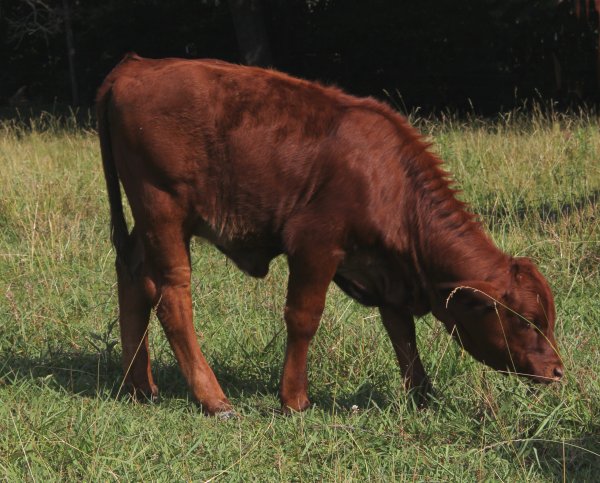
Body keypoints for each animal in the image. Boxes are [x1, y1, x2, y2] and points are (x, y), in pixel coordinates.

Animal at [97, 54, 564, 414]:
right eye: (527, 320)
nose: (557, 370)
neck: (387, 178)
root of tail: (136, 64)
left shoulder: (386, 273)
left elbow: (401, 333)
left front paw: (423, 395)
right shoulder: (315, 244)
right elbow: (303, 318)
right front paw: (294, 399)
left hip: (148, 224)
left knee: (133, 276)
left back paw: (139, 386)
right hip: (163, 210)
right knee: (171, 294)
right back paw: (213, 399)